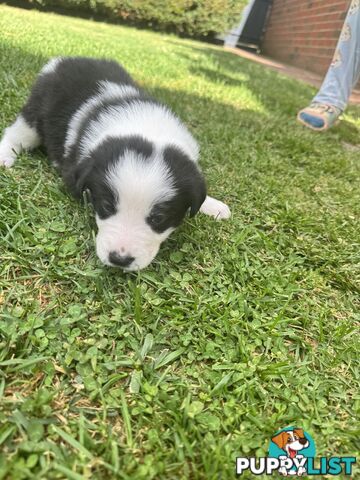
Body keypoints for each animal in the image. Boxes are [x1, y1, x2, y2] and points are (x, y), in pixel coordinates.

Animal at [0, 56, 231, 270]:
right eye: (106, 206)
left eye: (158, 218)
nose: (120, 259)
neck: (146, 128)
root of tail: (62, 61)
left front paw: (213, 206)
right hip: (35, 115)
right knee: (16, 133)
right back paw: (4, 156)